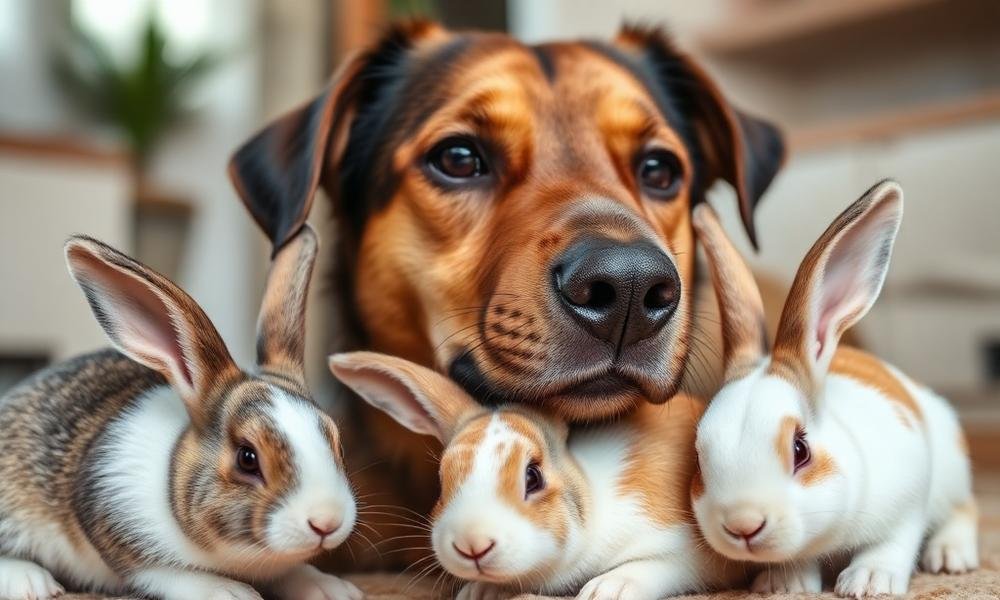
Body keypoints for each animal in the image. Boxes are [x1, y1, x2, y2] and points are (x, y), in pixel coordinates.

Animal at [0, 225, 362, 600]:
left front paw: (331, 589)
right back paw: (31, 583)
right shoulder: (118, 524)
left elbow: (291, 571)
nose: (327, 522)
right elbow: (171, 574)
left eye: (338, 444)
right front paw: (232, 592)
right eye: (247, 458)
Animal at [329, 352, 747, 600]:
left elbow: (660, 566)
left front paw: (606, 589)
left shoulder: (689, 548)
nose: (471, 545)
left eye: (532, 477)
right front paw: (478, 591)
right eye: (443, 479)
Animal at [689, 180, 978, 598]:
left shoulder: (909, 499)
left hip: (951, 473)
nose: (743, 525)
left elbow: (892, 541)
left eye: (800, 450)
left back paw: (949, 556)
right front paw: (785, 584)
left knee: (966, 508)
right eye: (697, 457)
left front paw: (868, 581)